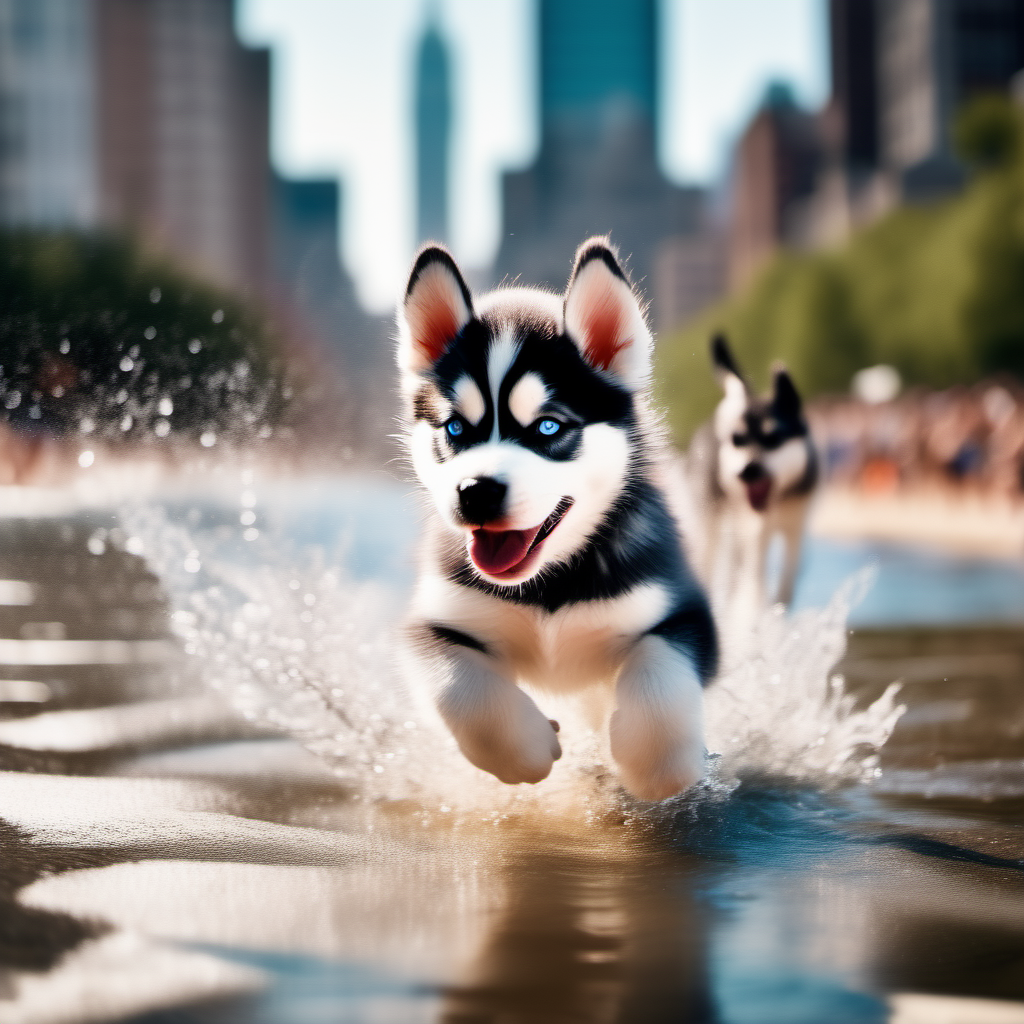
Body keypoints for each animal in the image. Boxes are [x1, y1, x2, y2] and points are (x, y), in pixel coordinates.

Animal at [395, 237, 716, 798]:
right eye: (455, 429)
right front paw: (524, 749)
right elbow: (459, 690)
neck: (548, 584)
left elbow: (660, 690)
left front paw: (656, 769)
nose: (475, 493)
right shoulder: (433, 622)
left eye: (548, 427)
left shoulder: (684, 611)